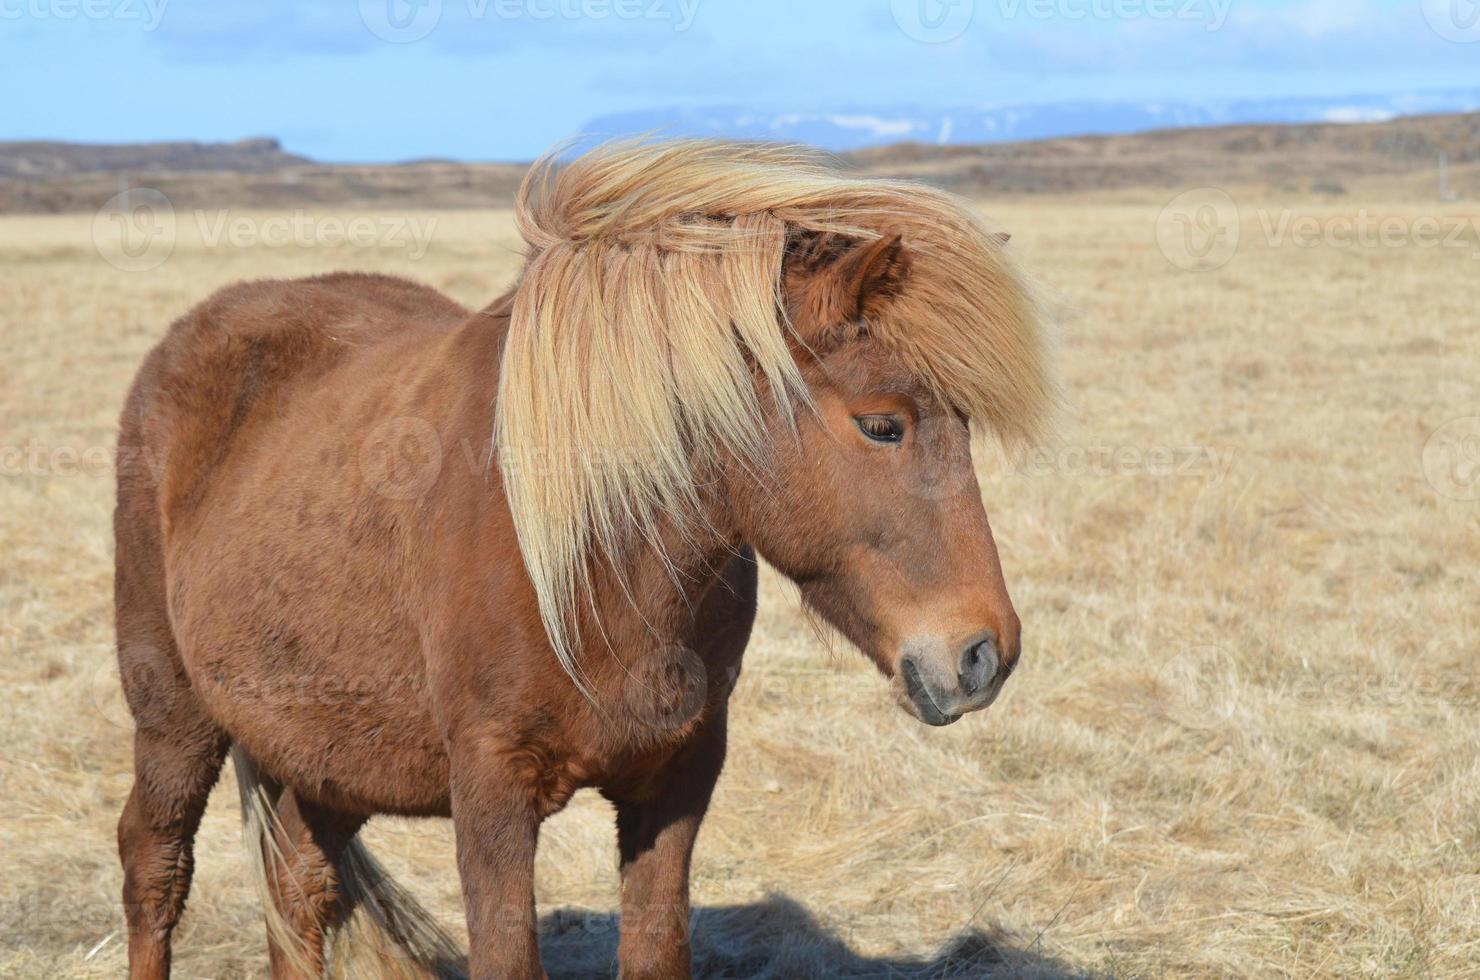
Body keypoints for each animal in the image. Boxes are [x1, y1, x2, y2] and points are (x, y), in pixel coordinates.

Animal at [115, 139, 1053, 980]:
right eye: (882, 424)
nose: (983, 656)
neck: (596, 561)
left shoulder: (676, 784)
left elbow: (657, 950)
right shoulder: (490, 795)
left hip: (323, 752)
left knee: (298, 890)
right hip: (175, 715)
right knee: (155, 869)